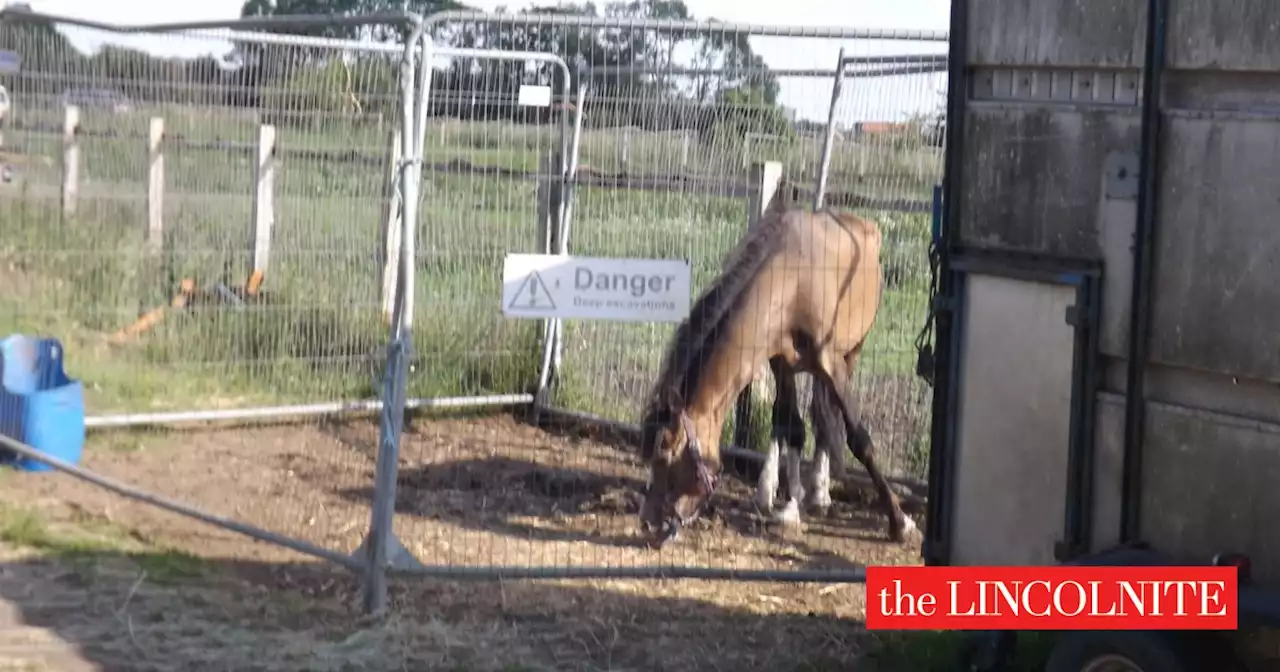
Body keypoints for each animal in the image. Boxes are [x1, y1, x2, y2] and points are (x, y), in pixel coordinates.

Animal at [634, 193, 916, 545]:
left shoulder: (830, 362)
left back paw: (822, 493)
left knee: (828, 418)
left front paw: (900, 521)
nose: (648, 522)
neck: (790, 280)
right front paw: (791, 506)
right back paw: (773, 491)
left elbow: (859, 439)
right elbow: (789, 425)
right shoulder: (778, 360)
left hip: (853, 353)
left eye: (668, 455)